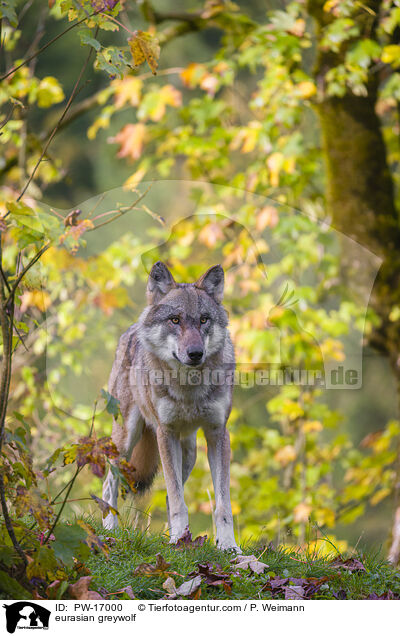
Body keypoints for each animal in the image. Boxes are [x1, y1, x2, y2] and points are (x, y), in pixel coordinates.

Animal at [103, 260, 241, 548]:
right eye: (175, 320)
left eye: (203, 319)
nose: (196, 353)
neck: (189, 388)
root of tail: (132, 329)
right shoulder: (165, 433)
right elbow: (178, 500)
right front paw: (178, 540)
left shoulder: (217, 434)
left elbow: (222, 504)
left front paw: (228, 546)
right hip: (126, 440)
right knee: (109, 484)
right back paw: (109, 530)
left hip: (189, 451)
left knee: (168, 495)